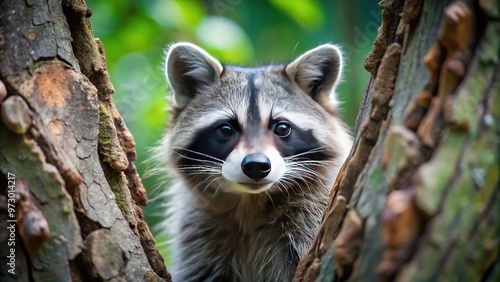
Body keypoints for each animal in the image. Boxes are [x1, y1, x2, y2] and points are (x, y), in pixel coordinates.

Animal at [158, 42, 354, 282]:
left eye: (282, 128)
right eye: (226, 129)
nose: (256, 165)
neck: (251, 202)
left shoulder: (310, 219)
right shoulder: (199, 235)